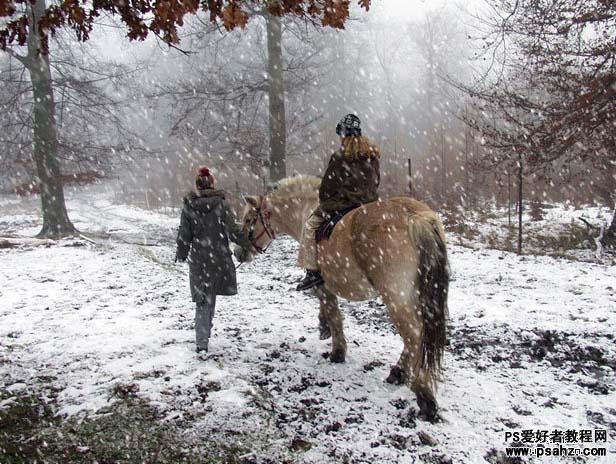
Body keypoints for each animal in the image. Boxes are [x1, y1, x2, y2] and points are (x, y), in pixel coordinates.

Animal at [236, 175, 448, 420]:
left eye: (249, 219)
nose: (238, 252)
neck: (306, 210)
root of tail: (415, 217)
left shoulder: (323, 286)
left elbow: (333, 314)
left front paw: (337, 351)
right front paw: (324, 329)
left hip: (397, 298)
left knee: (414, 335)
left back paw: (423, 395)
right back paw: (400, 374)